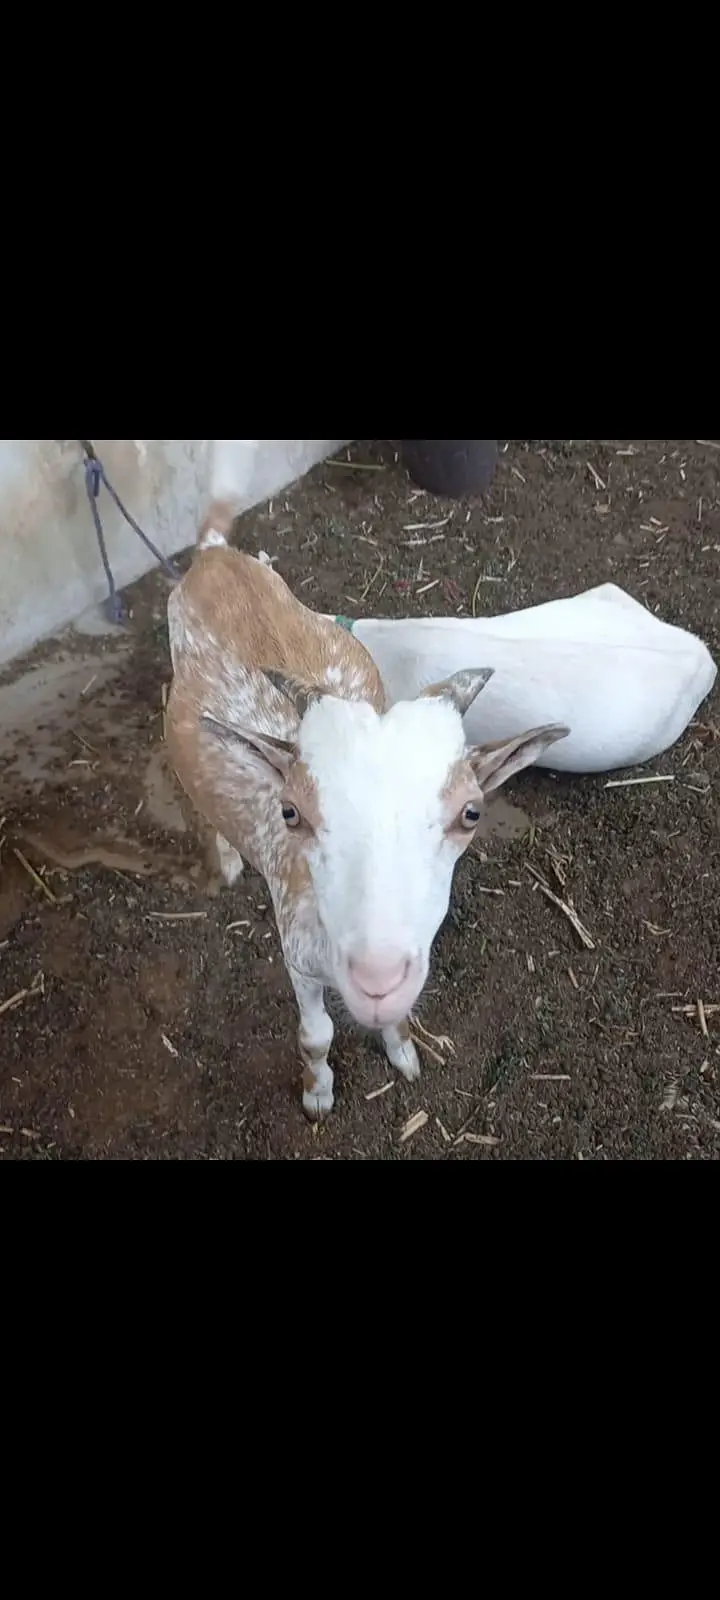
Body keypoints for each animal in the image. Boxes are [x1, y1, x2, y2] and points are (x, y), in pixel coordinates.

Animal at [167, 514, 569, 1119]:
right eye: (290, 812)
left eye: (471, 813)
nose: (377, 982)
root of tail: (214, 555)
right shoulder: (298, 956)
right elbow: (315, 1036)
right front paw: (317, 1096)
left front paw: (403, 1055)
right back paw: (230, 857)